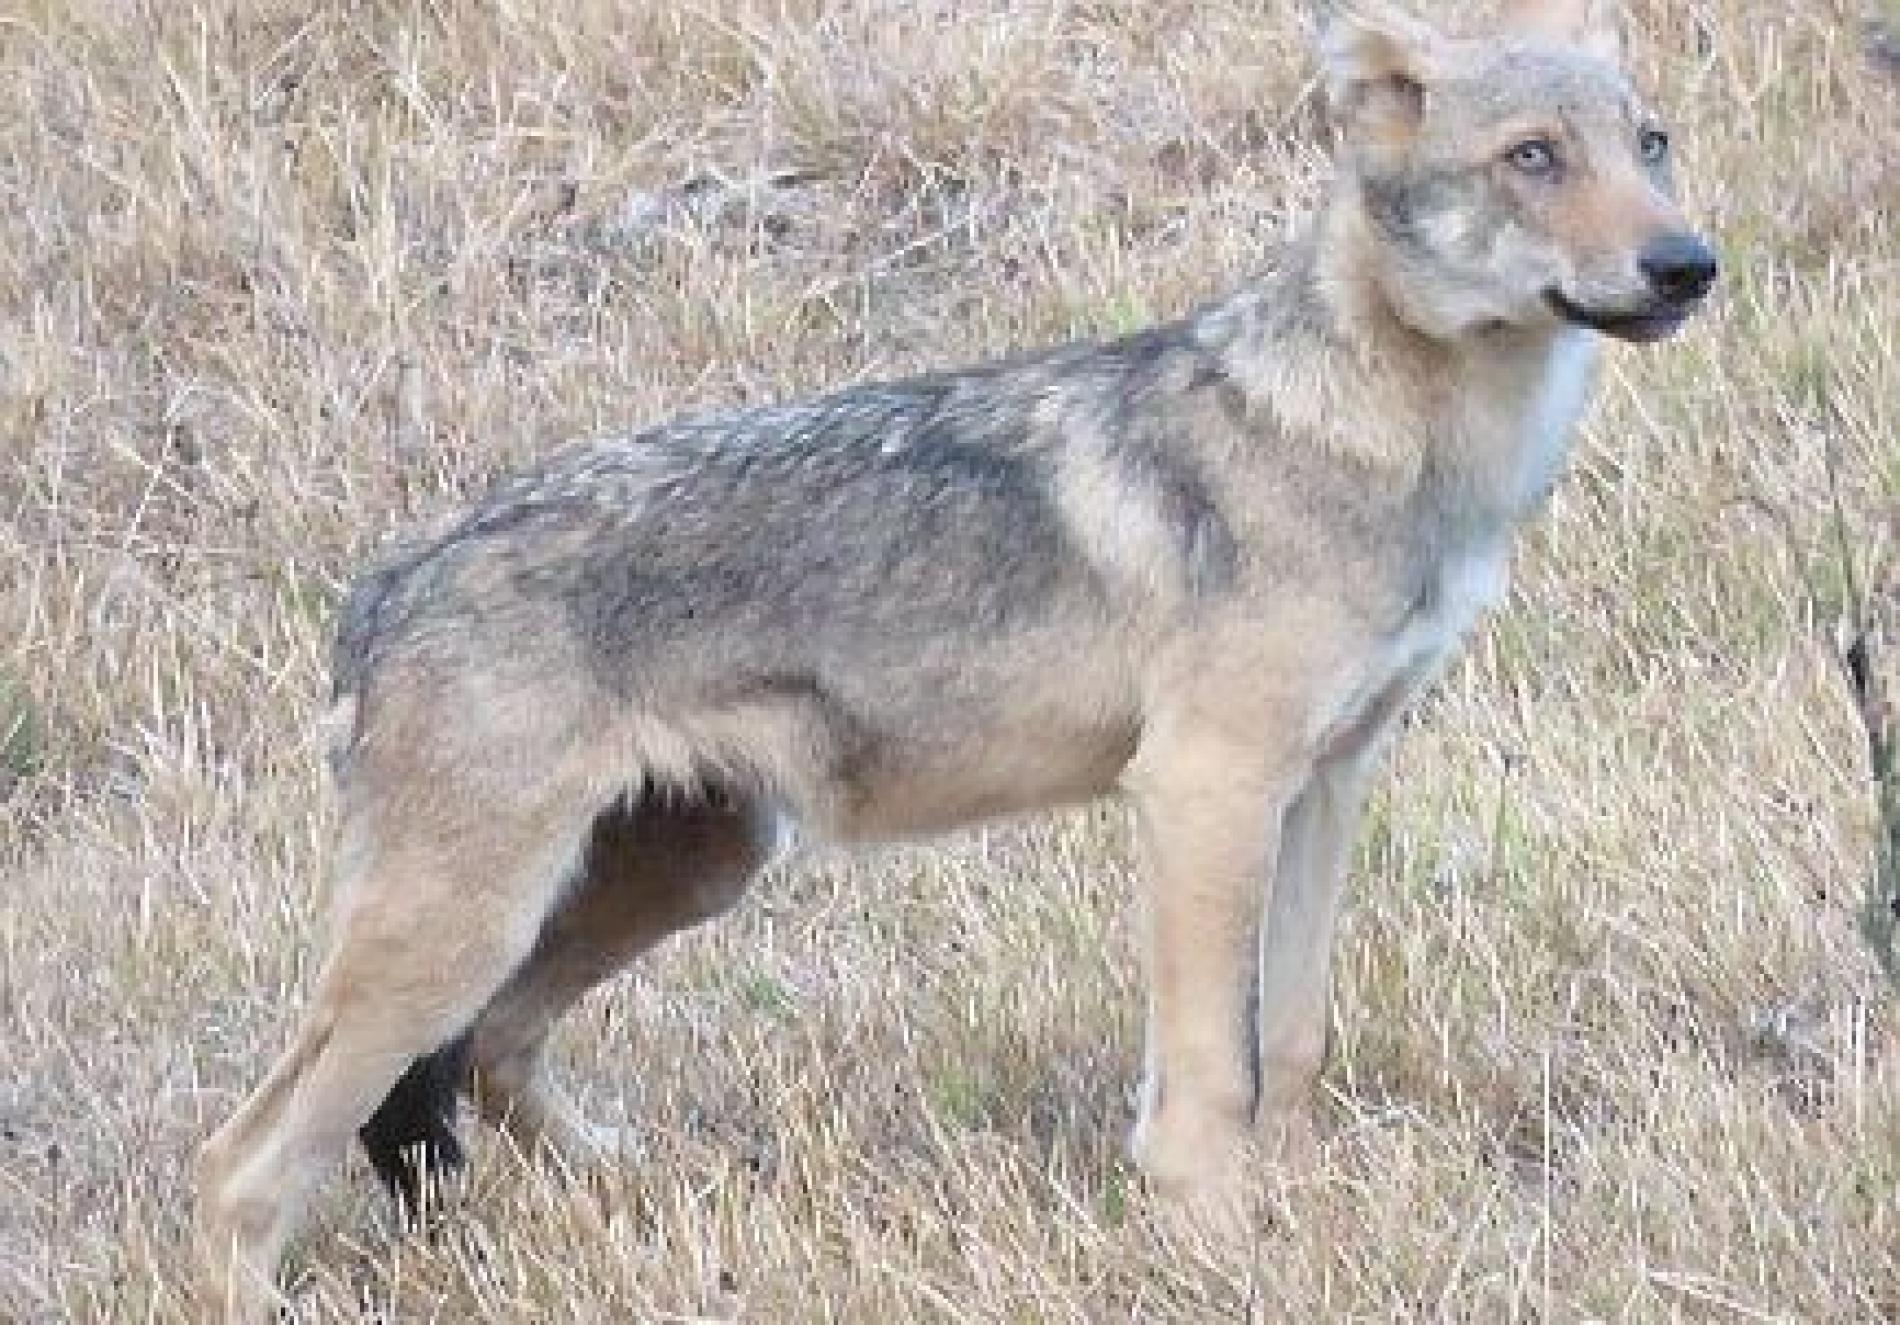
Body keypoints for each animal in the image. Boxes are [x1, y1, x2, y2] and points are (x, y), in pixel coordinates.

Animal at [196, 0, 1725, 1300]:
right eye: (1533, 157)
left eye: (1649, 144)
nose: (1688, 264)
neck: (1393, 442)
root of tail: (387, 582)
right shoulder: (1204, 791)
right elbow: (1206, 1074)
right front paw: (1220, 1240)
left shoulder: (1330, 781)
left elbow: (1288, 1037)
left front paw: (1301, 1203)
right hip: (458, 933)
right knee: (241, 1164)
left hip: (678, 873)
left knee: (498, 1057)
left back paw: (664, 1194)